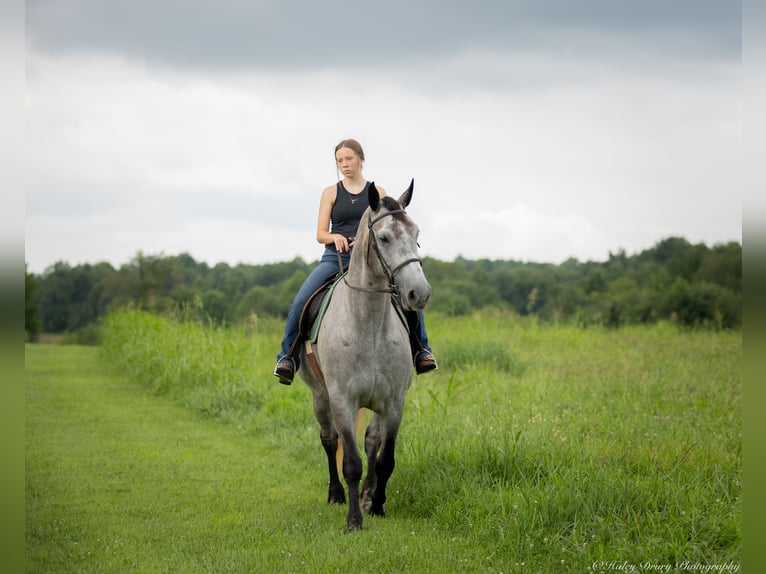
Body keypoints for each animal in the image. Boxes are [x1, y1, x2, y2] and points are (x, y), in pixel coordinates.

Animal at [296, 180, 432, 536]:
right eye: (383, 238)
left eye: (415, 233)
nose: (419, 294)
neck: (367, 323)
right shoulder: (343, 401)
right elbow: (352, 463)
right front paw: (354, 520)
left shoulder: (394, 402)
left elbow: (385, 459)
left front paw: (378, 504)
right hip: (320, 396)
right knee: (329, 441)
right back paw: (336, 494)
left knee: (371, 442)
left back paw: (369, 495)